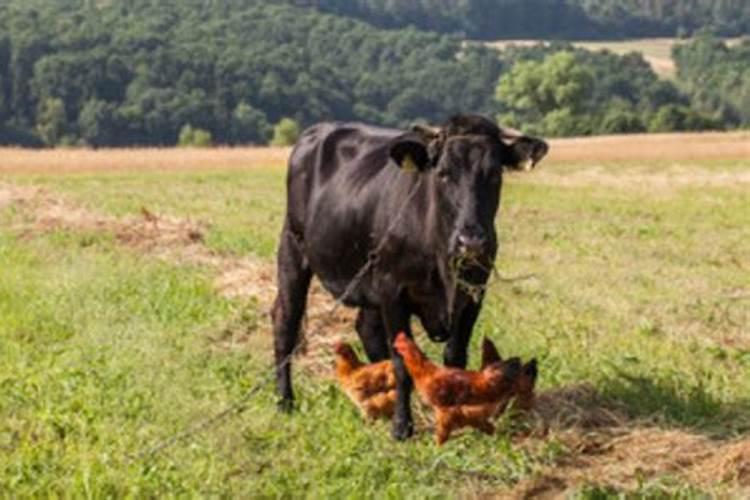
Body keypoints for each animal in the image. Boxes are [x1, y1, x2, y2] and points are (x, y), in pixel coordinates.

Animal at [274, 115, 548, 440]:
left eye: (494, 173)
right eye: (443, 173)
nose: (471, 242)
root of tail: (317, 131)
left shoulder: (473, 294)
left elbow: (455, 357)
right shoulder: (393, 293)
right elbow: (402, 364)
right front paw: (402, 427)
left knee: (366, 329)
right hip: (293, 248)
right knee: (285, 322)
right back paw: (284, 401)